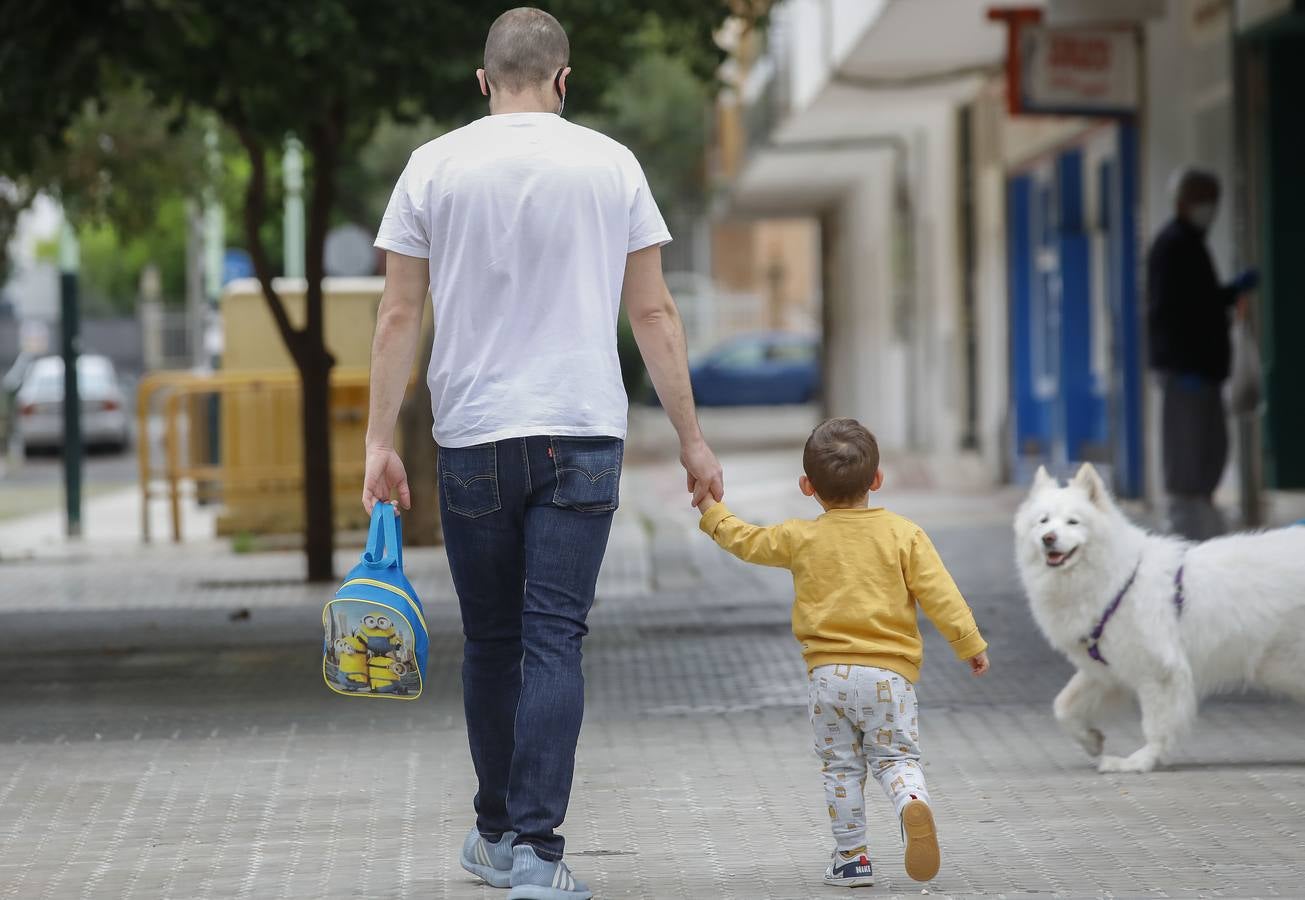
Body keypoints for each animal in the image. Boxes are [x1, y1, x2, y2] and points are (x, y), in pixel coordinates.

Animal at [1017, 461, 1305, 772]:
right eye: (1043, 521)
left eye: (1073, 522)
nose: (1048, 539)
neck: (1121, 580)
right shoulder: (1108, 671)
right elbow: (1063, 706)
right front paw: (1091, 740)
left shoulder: (1159, 671)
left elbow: (1157, 726)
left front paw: (1139, 761)